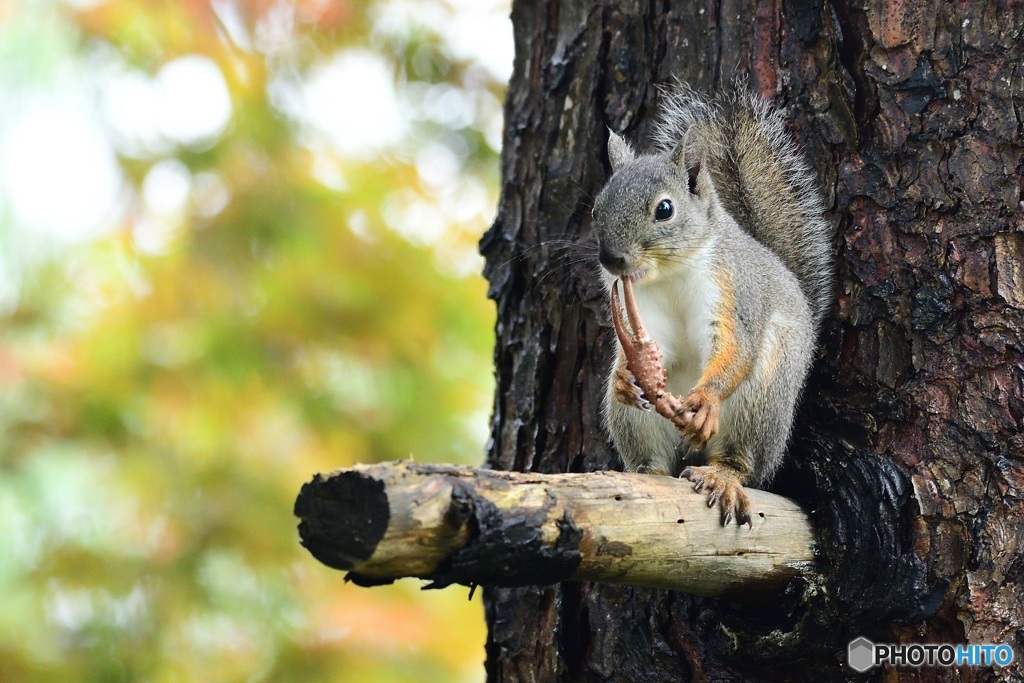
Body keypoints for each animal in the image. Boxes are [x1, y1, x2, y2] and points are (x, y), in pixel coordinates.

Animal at [593, 83, 831, 524]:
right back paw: (645, 472)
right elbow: (651, 350)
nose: (612, 260)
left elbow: (736, 347)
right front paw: (623, 376)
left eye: (664, 209)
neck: (668, 274)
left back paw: (723, 476)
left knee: (740, 458)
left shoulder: (735, 293)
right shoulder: (643, 312)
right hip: (634, 420)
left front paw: (705, 400)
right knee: (652, 457)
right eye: (597, 209)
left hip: (761, 401)